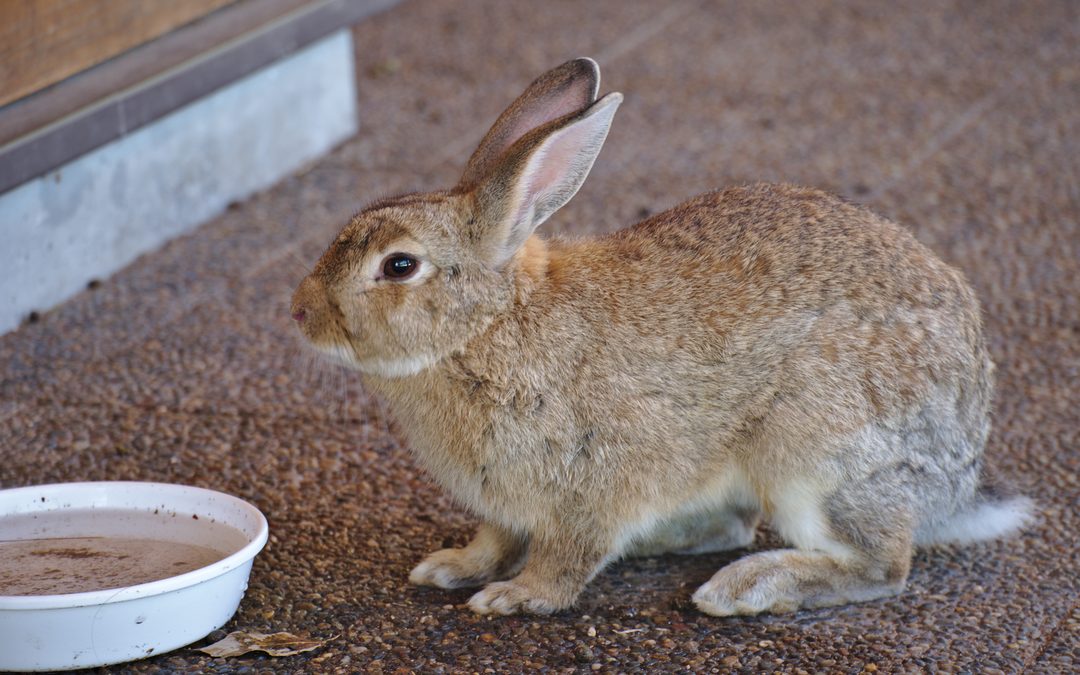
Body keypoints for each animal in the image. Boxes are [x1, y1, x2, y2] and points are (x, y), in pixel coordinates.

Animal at [290, 57, 1032, 616]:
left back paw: (749, 586)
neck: (491, 323)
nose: (300, 312)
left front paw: (515, 596)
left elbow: (566, 557)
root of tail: (961, 473)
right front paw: (450, 567)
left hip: (814, 451)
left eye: (399, 266)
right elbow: (493, 540)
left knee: (882, 566)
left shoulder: (592, 480)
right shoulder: (505, 500)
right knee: (732, 525)